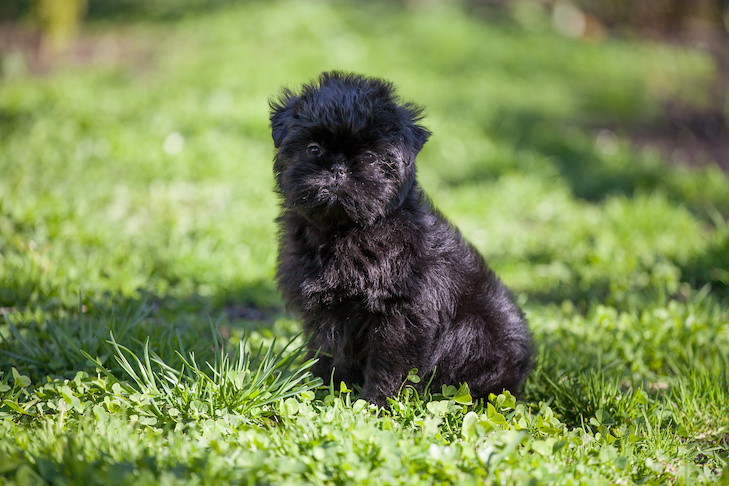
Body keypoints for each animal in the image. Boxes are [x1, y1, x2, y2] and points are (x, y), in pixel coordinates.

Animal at [270, 71, 532, 406]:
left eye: (370, 157)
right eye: (313, 149)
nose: (338, 168)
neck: (345, 232)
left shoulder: (404, 315)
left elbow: (390, 367)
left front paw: (376, 405)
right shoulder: (324, 315)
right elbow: (327, 353)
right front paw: (320, 391)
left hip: (473, 329)